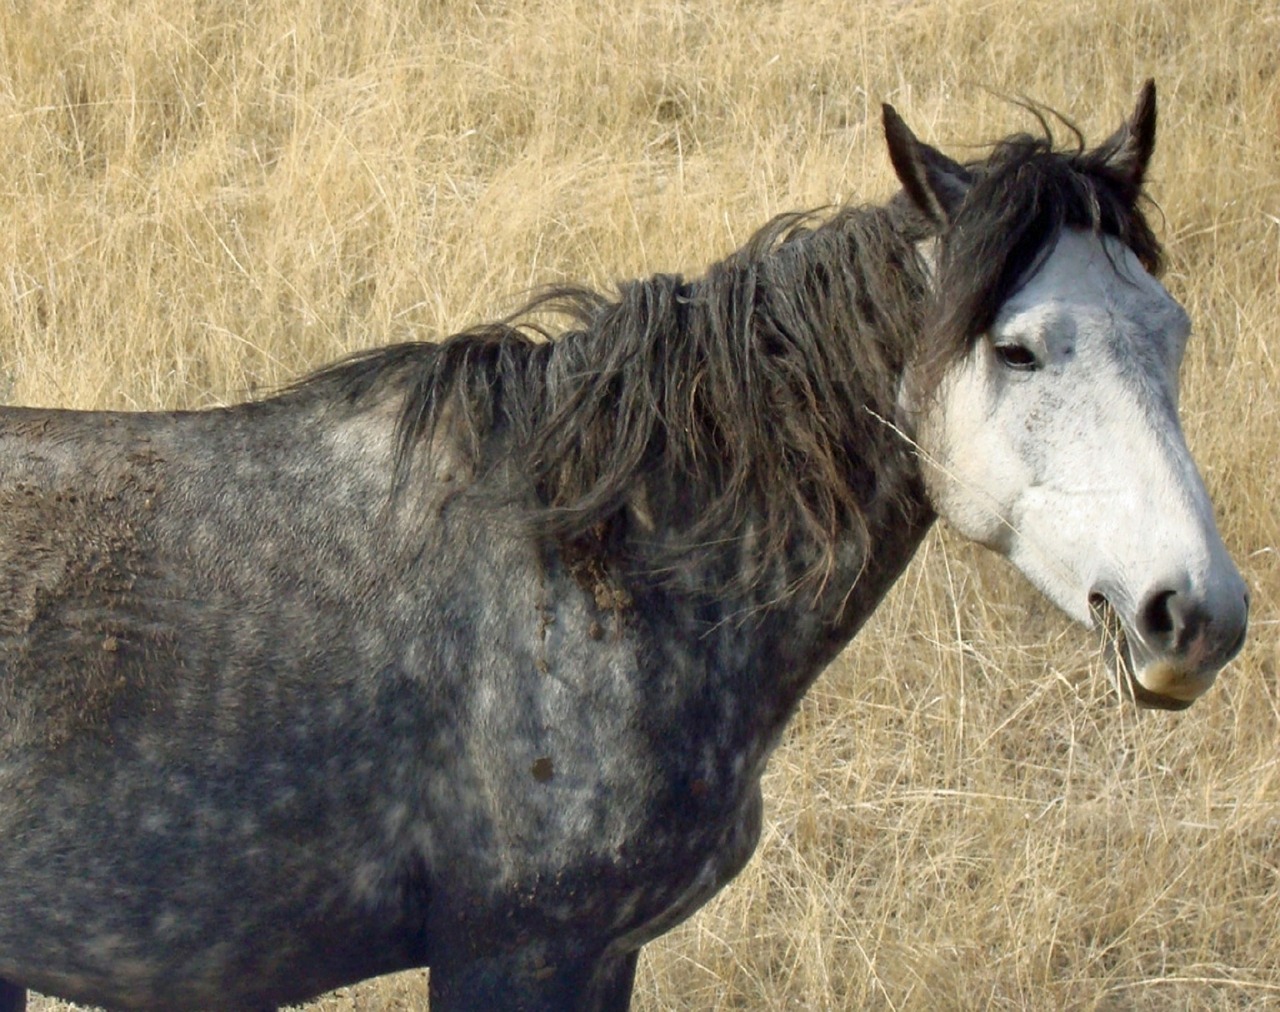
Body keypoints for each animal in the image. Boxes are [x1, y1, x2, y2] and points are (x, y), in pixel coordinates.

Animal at [0, 81, 1249, 1012]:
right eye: (1016, 348)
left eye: (1170, 330)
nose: (1193, 613)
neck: (601, 573)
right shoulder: (517, 954)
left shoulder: (602, 953)